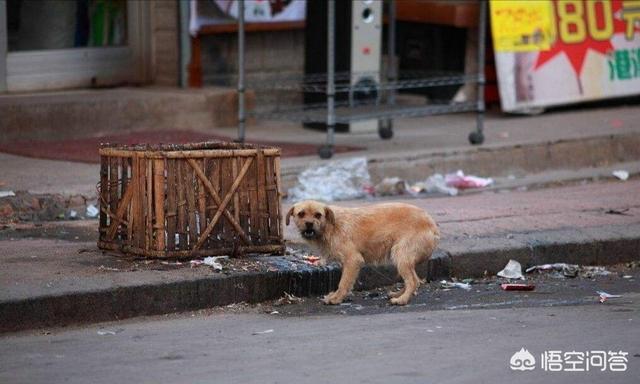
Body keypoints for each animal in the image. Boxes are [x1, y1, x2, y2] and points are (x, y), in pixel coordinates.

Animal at [286, 200, 440, 304]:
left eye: (318, 215)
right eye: (301, 214)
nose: (309, 224)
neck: (331, 226)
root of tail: (432, 225)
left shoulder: (353, 260)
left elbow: (343, 283)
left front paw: (337, 298)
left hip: (401, 255)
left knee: (413, 281)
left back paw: (402, 300)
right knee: (414, 280)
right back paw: (398, 294)